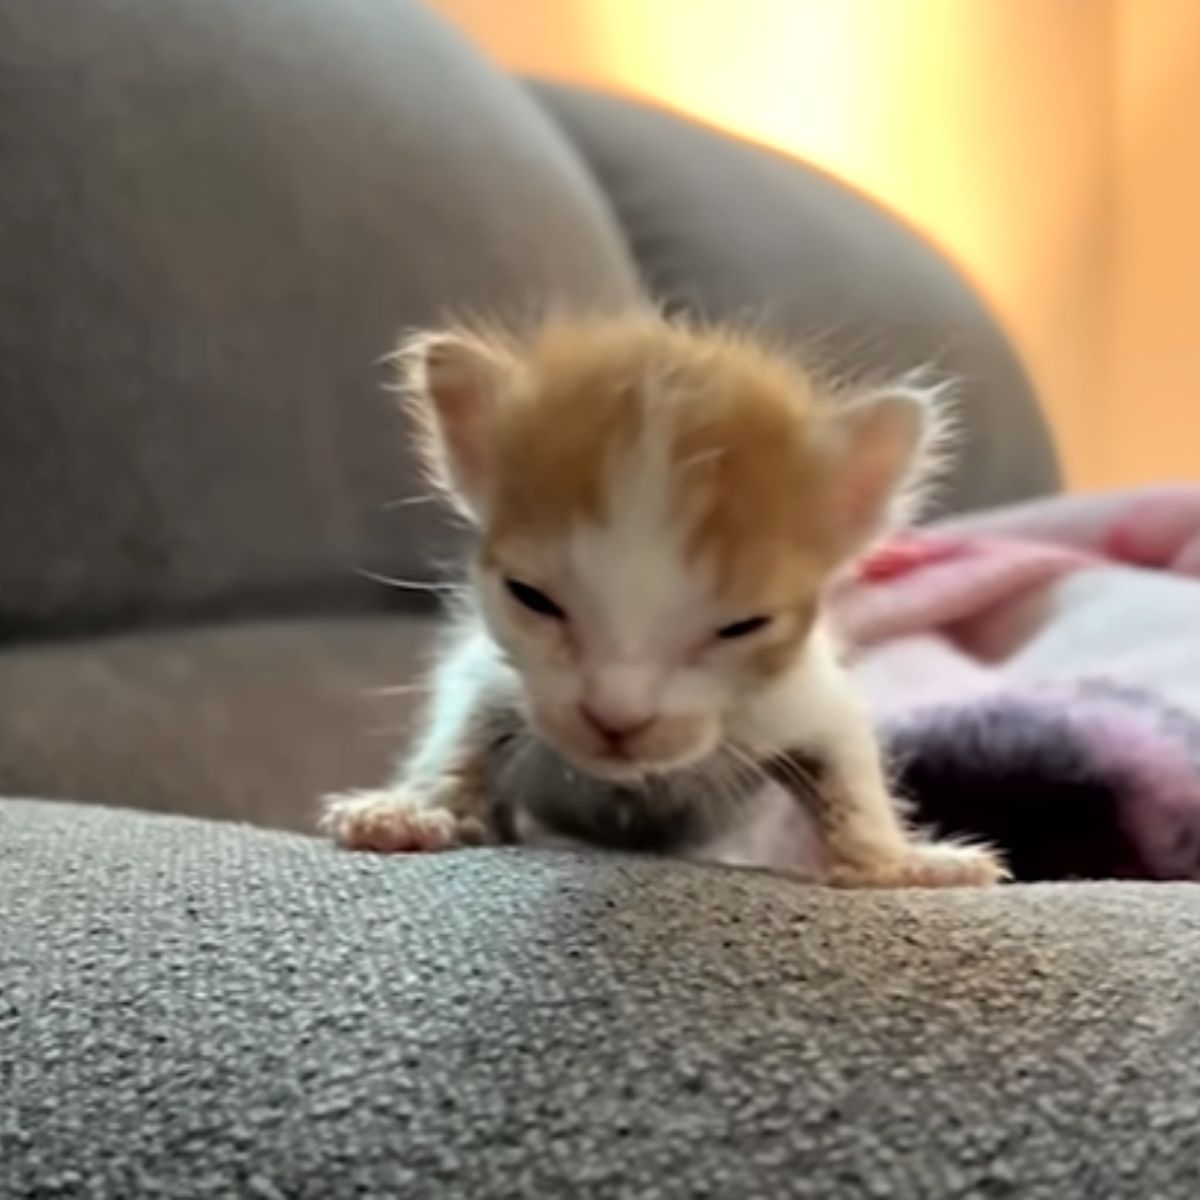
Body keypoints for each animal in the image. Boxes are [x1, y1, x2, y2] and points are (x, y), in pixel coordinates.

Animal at [319, 314, 1003, 888]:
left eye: (744, 625)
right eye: (530, 597)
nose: (616, 718)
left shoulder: (797, 692)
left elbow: (847, 757)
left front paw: (897, 862)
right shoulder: (494, 671)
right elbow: (466, 720)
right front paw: (413, 808)